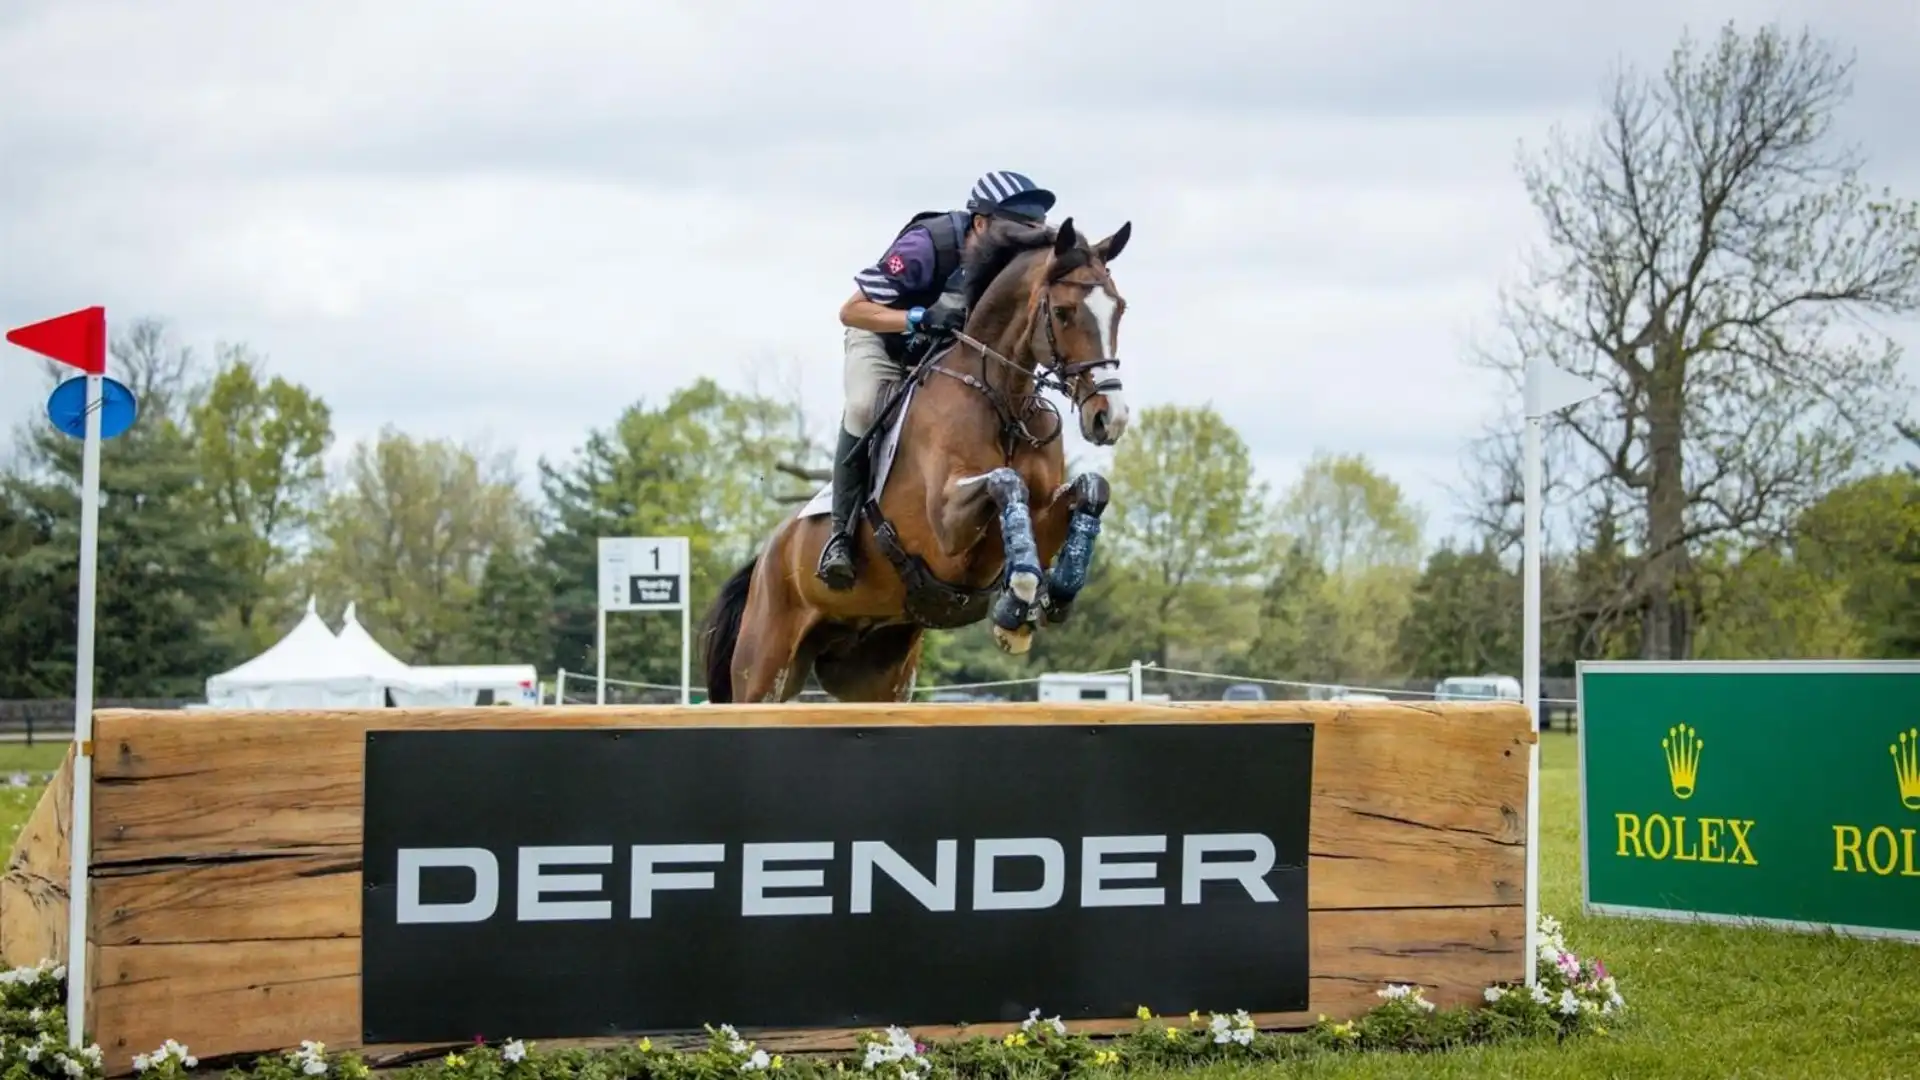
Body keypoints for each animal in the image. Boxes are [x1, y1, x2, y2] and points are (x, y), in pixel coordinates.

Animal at [697, 216, 1132, 704]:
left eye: (1119, 309)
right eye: (1063, 312)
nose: (1109, 418)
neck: (1003, 403)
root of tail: (766, 557)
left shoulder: (1036, 511)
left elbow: (1091, 488)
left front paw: (1052, 595)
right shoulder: (947, 529)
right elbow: (1005, 482)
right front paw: (1019, 596)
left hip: (878, 677)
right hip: (763, 667)